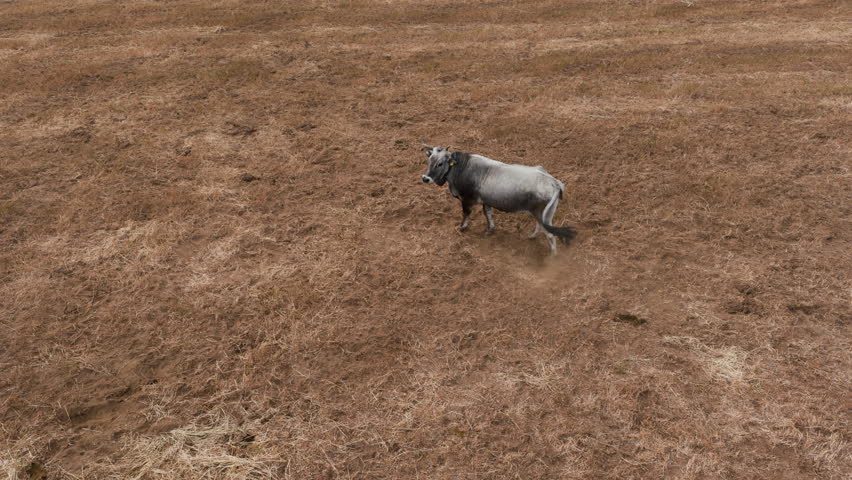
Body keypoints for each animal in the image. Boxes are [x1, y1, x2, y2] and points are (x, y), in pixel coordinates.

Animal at [420, 145, 576, 255]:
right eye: (429, 160)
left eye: (440, 163)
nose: (425, 178)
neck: (462, 167)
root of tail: (554, 183)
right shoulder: (486, 201)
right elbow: (488, 214)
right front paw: (490, 230)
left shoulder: (466, 200)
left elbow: (466, 214)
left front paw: (462, 228)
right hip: (543, 215)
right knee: (541, 227)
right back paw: (531, 237)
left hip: (541, 213)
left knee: (550, 235)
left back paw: (552, 257)